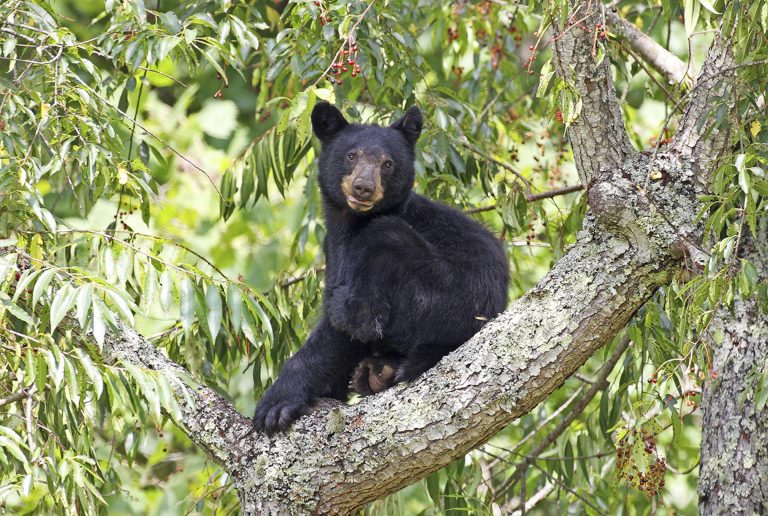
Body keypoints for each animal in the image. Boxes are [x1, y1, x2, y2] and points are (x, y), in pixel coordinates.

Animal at [252, 103, 512, 434]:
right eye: (351, 155)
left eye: (387, 163)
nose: (363, 187)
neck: (349, 225)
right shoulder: (332, 253)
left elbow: (338, 337)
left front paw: (277, 403)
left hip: (440, 292)